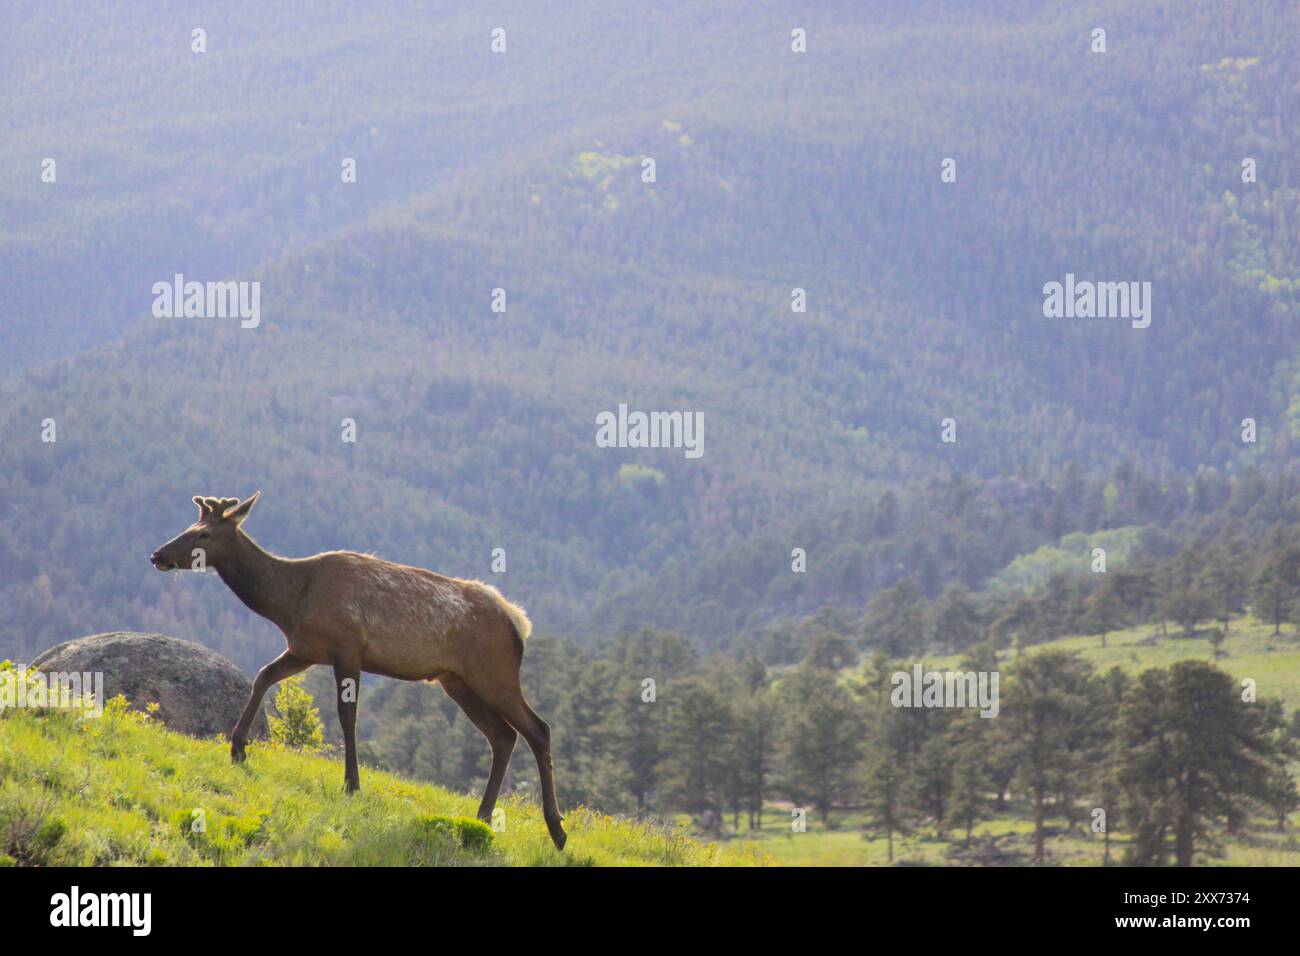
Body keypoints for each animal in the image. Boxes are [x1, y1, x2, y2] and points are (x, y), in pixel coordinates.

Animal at [149, 496, 566, 848]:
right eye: (189, 525)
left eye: (202, 533)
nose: (157, 554)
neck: (290, 602)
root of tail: (518, 622)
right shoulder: (306, 649)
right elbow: (263, 676)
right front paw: (237, 748)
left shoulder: (347, 648)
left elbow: (347, 715)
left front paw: (351, 784)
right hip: (457, 681)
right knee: (502, 736)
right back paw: (482, 816)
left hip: (494, 672)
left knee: (538, 728)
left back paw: (556, 829)